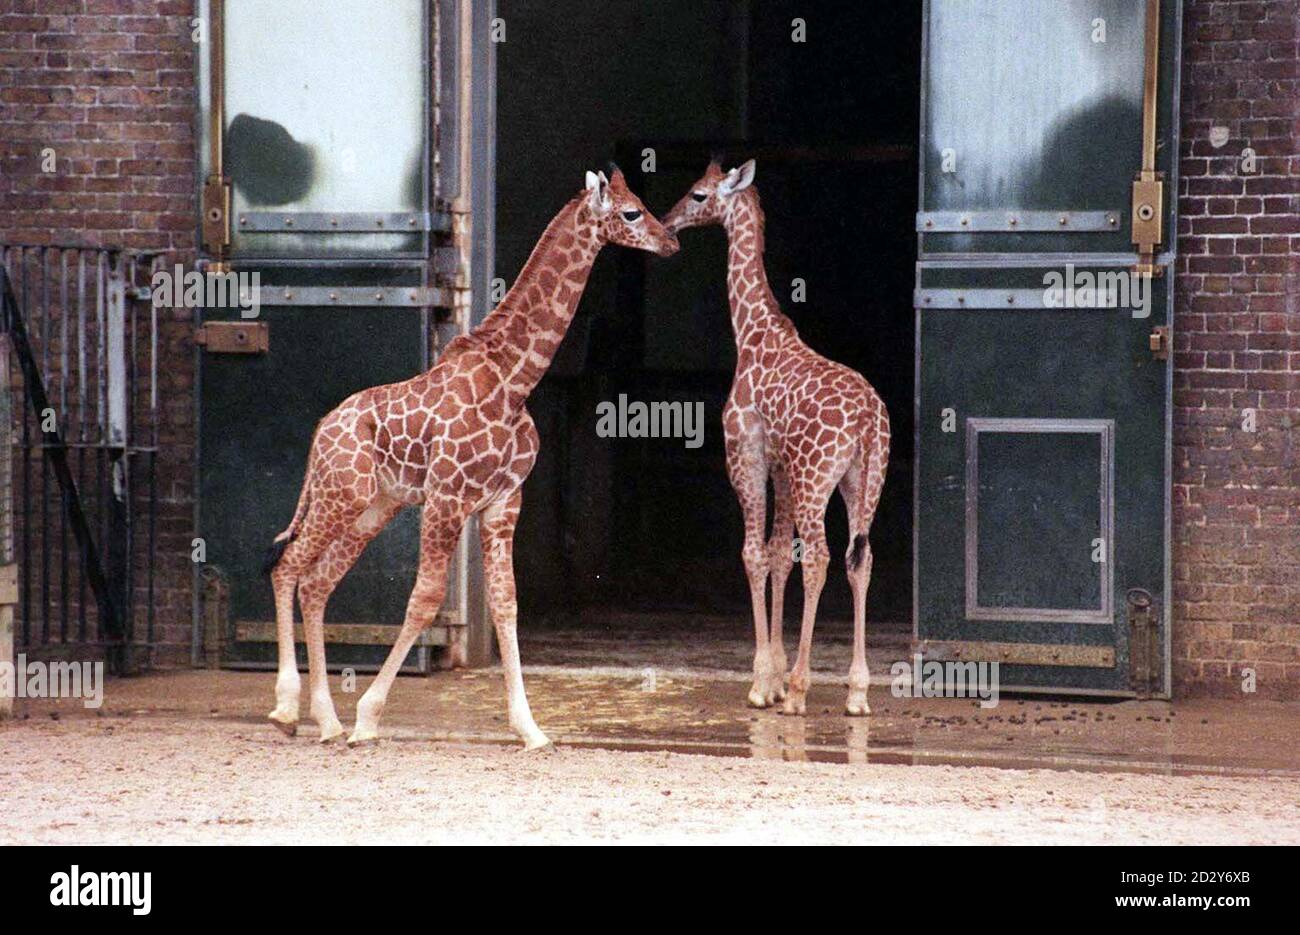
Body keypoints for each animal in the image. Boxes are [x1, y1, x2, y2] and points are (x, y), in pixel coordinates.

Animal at [258, 170, 676, 754]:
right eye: (632, 213)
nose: (671, 241)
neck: (515, 380)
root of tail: (321, 431)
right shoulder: (447, 497)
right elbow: (425, 598)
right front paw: (369, 716)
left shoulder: (503, 500)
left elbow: (506, 602)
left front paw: (530, 729)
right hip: (344, 493)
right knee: (288, 567)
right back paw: (287, 709)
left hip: (375, 506)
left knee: (317, 581)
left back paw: (326, 719)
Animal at [665, 159, 889, 717]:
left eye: (698, 195)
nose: (669, 223)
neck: (752, 333)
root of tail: (868, 421)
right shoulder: (784, 468)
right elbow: (777, 553)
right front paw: (776, 676)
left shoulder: (746, 456)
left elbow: (753, 553)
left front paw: (764, 682)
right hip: (863, 481)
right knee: (860, 559)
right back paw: (856, 692)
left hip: (817, 480)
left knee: (822, 557)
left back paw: (803, 690)